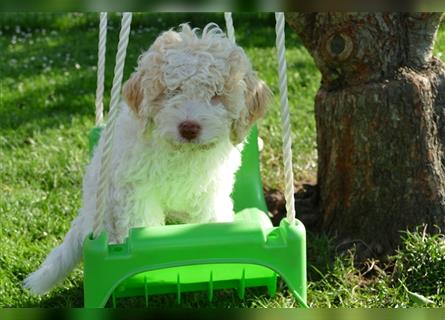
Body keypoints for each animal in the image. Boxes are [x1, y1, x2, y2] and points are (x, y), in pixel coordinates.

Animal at [24, 23, 270, 296]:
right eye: (172, 91)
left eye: (216, 94)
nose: (188, 128)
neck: (181, 151)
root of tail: (86, 212)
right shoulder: (135, 190)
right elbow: (142, 224)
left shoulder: (211, 189)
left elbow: (211, 218)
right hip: (104, 206)